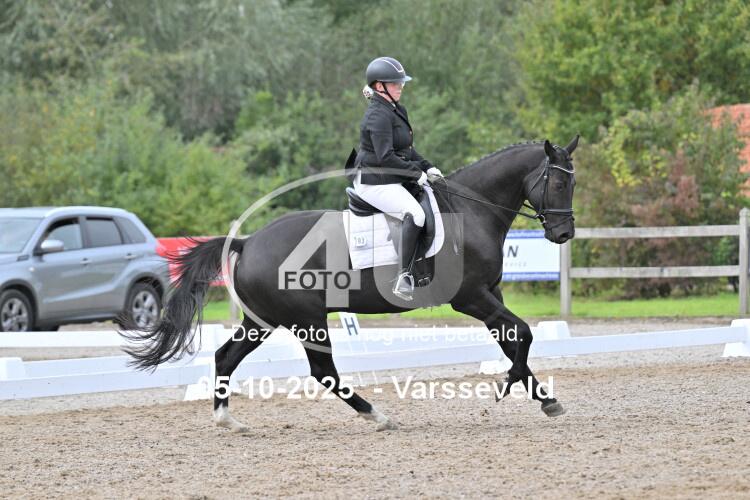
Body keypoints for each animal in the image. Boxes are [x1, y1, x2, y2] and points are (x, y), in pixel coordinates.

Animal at [121, 136, 578, 432]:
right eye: (558, 183)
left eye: (572, 183)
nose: (563, 234)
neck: (469, 212)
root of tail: (250, 242)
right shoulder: (471, 298)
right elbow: (523, 333)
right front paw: (509, 384)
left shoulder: (489, 294)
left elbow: (513, 339)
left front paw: (545, 399)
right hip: (307, 318)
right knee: (323, 371)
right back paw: (377, 416)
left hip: (263, 319)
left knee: (226, 356)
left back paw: (228, 420)